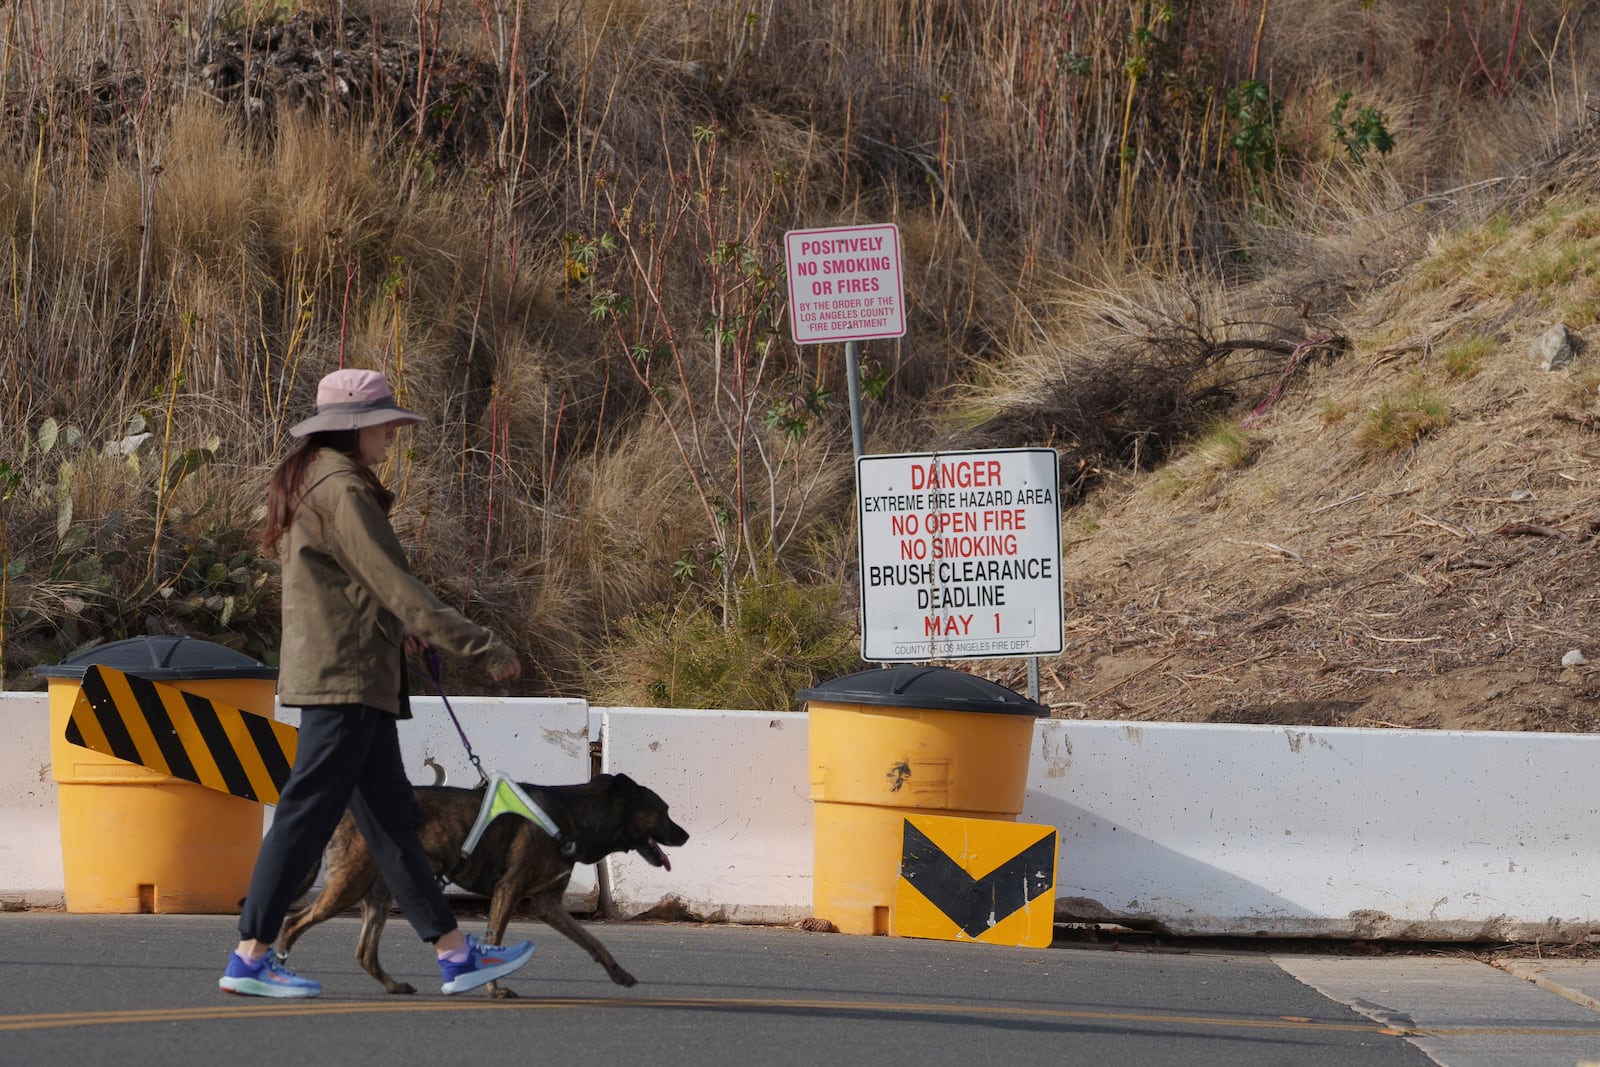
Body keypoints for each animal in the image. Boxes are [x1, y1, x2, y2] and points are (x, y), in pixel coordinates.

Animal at [280, 771, 688, 998]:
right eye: (664, 811)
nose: (684, 836)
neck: (573, 815)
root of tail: (350, 811)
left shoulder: (548, 906)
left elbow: (593, 941)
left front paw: (617, 972)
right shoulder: (509, 892)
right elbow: (494, 940)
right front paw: (494, 988)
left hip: (379, 893)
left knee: (364, 952)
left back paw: (394, 986)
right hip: (348, 884)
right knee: (292, 922)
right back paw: (279, 974)